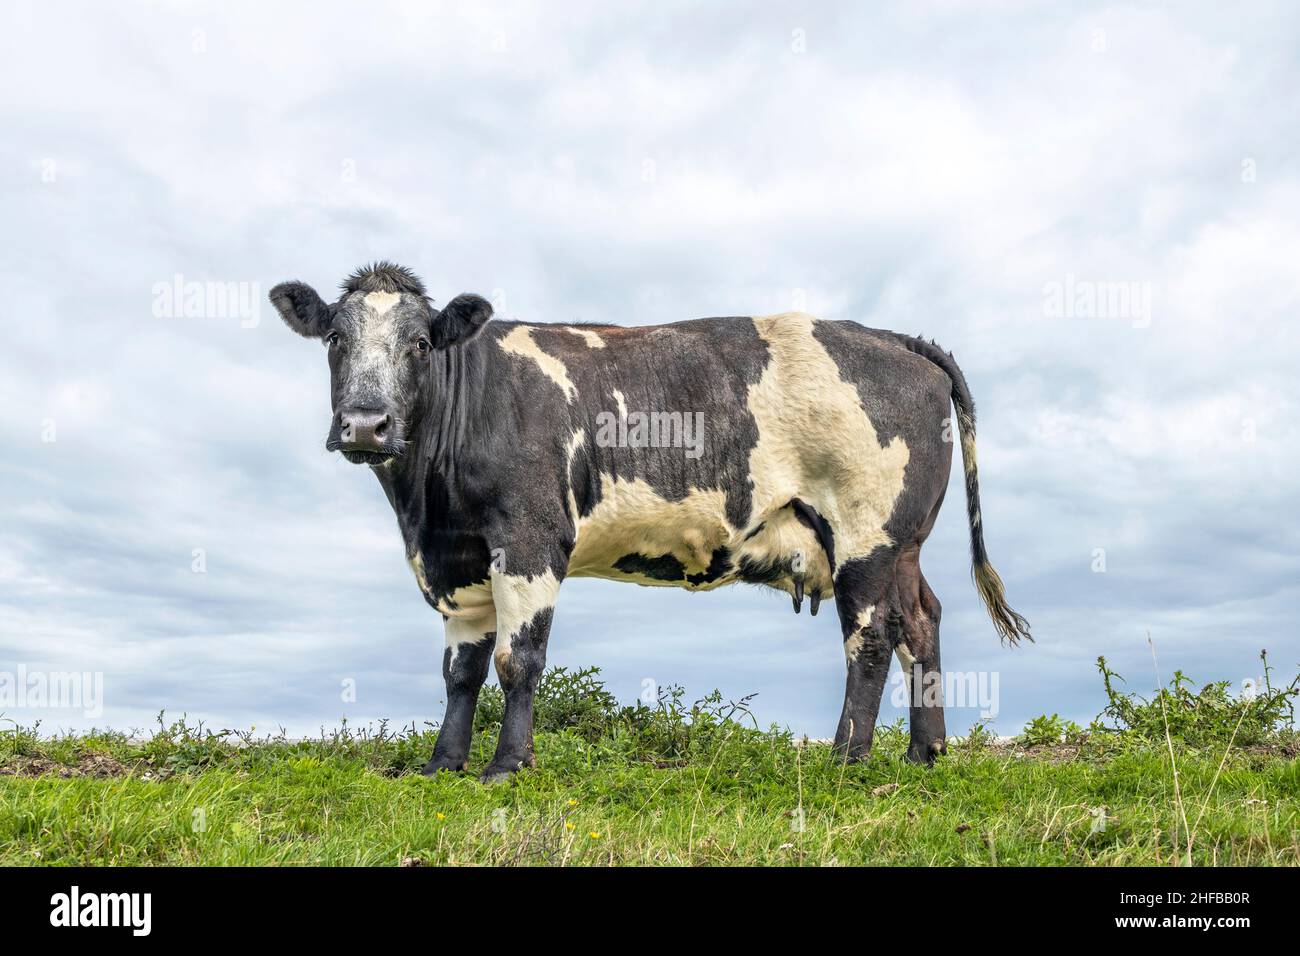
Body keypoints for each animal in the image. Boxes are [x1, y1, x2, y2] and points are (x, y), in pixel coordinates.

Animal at [270, 262, 1030, 782]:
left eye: (422, 344)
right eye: (334, 337)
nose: (366, 423)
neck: (426, 508)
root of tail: (895, 339)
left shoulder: (530, 537)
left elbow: (519, 660)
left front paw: (506, 767)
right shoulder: (457, 560)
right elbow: (461, 673)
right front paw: (442, 766)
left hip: (865, 535)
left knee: (871, 638)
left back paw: (846, 758)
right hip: (902, 544)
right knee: (921, 621)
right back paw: (924, 753)